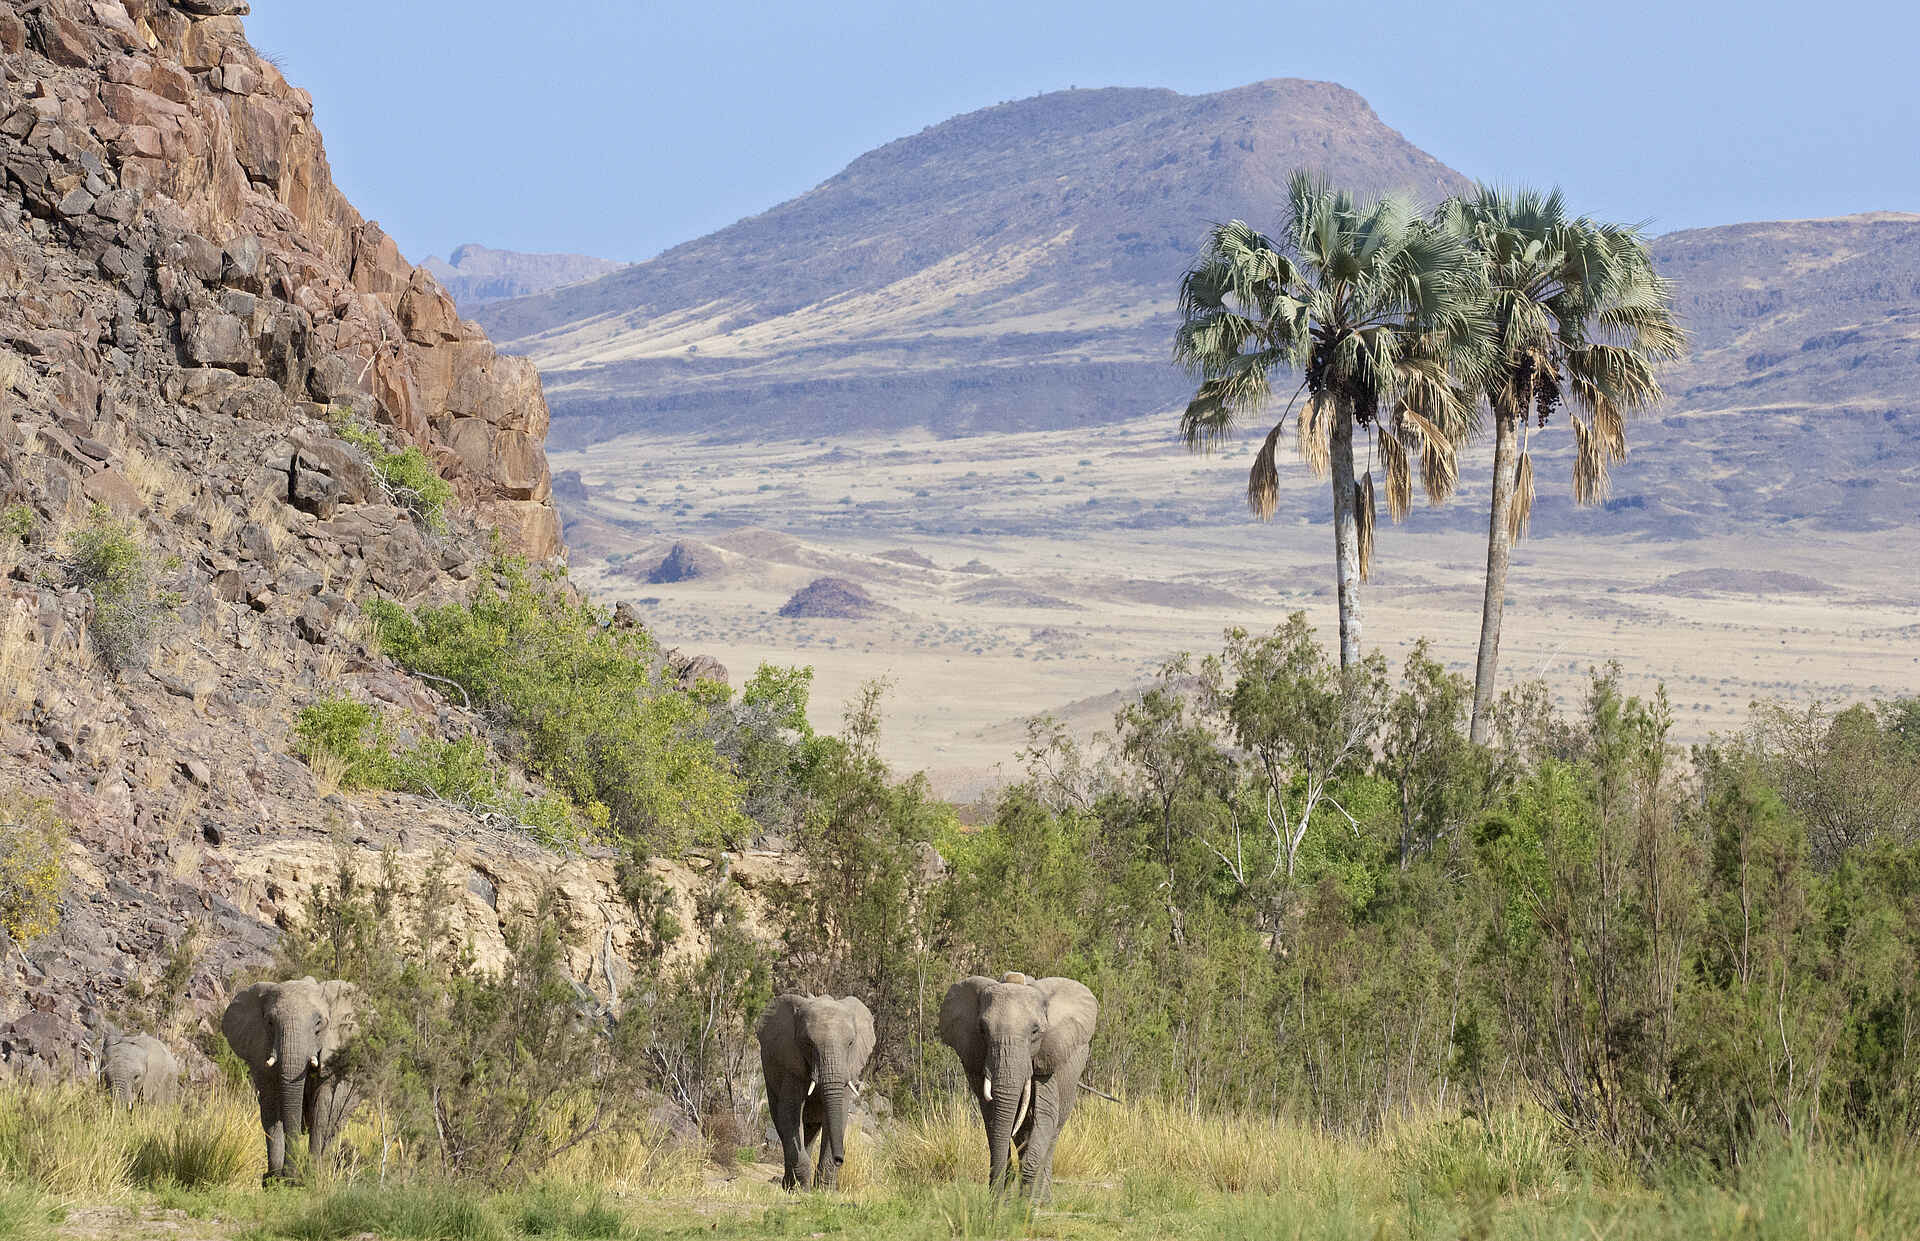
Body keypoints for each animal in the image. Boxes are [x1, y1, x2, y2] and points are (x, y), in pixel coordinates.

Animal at [221, 977, 361, 1181]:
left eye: (319, 1023)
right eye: (270, 1022)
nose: (290, 1177)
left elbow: (324, 1109)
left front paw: (311, 1177)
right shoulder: (259, 1050)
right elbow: (271, 1108)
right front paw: (274, 1179)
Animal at [755, 993, 876, 1190]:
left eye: (851, 1043)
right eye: (808, 1043)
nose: (840, 1159)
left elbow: (838, 1115)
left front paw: (825, 1191)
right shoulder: (792, 1065)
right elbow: (790, 1114)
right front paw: (801, 1190)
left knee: (811, 1130)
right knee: (782, 1124)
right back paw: (788, 1185)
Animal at [938, 971, 1098, 1199]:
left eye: (1035, 1031)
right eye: (982, 1030)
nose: (996, 1201)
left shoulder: (1049, 1055)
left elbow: (1046, 1115)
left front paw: (1027, 1202)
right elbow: (992, 1117)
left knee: (1051, 1134)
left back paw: (1042, 1199)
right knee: (1023, 1132)